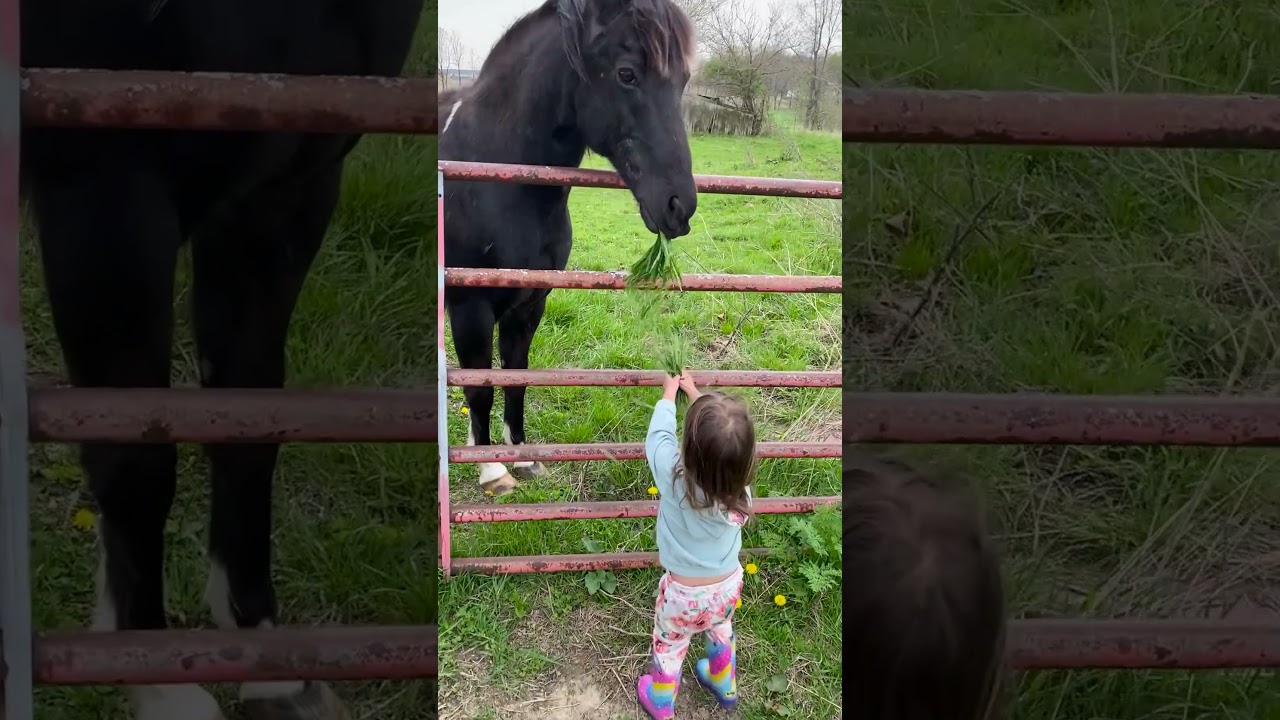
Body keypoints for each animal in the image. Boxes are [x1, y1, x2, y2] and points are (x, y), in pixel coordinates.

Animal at [18, 1, 421, 718]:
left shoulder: (281, 196)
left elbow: (246, 426)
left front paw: (271, 670)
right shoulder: (107, 198)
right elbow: (135, 458)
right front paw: (160, 684)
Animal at [438, 0, 698, 497]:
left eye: (683, 80)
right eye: (627, 74)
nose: (680, 206)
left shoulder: (529, 305)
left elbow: (514, 379)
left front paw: (521, 458)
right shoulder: (469, 307)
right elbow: (479, 386)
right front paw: (491, 471)